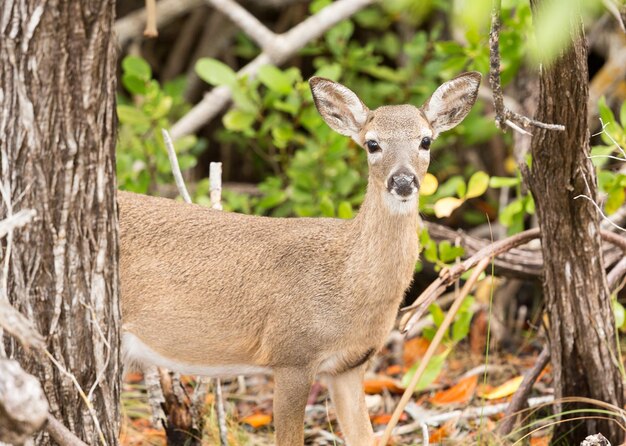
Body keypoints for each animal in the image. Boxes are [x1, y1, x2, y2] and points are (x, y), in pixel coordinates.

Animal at [118, 71, 478, 444]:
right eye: (372, 144)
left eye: (426, 141)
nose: (404, 180)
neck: (346, 280)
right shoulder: (292, 355)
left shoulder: (349, 366)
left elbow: (364, 437)